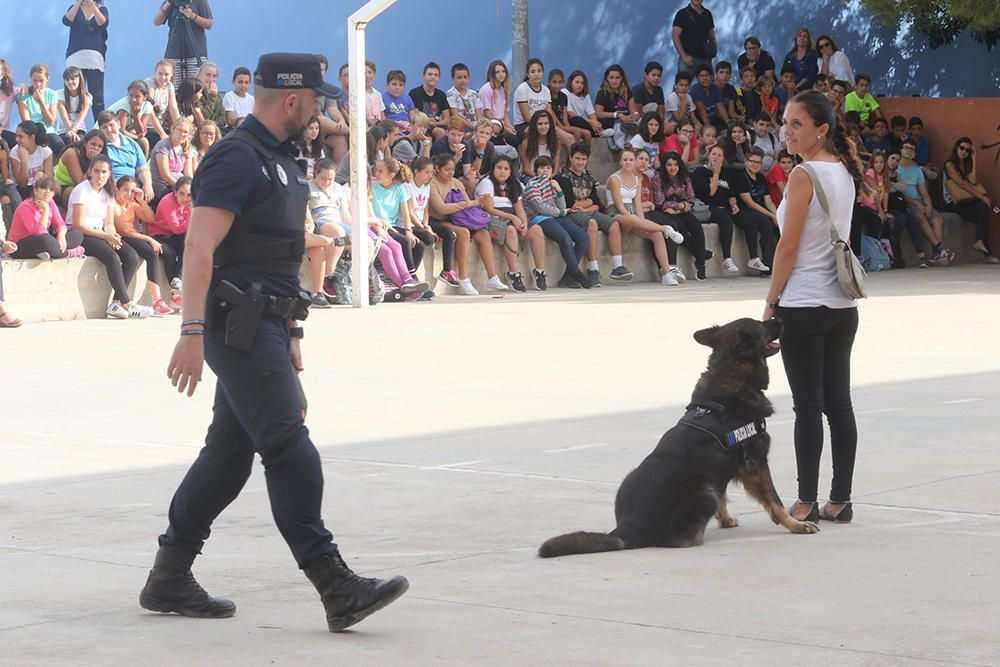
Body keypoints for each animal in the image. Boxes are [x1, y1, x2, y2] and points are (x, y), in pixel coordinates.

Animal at [540, 318, 820, 560]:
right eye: (761, 324)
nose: (780, 318)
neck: (731, 375)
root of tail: (627, 528)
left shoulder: (725, 471)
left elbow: (725, 495)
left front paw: (726, 519)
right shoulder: (756, 463)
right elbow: (775, 501)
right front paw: (796, 524)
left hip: (633, 477)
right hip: (704, 491)